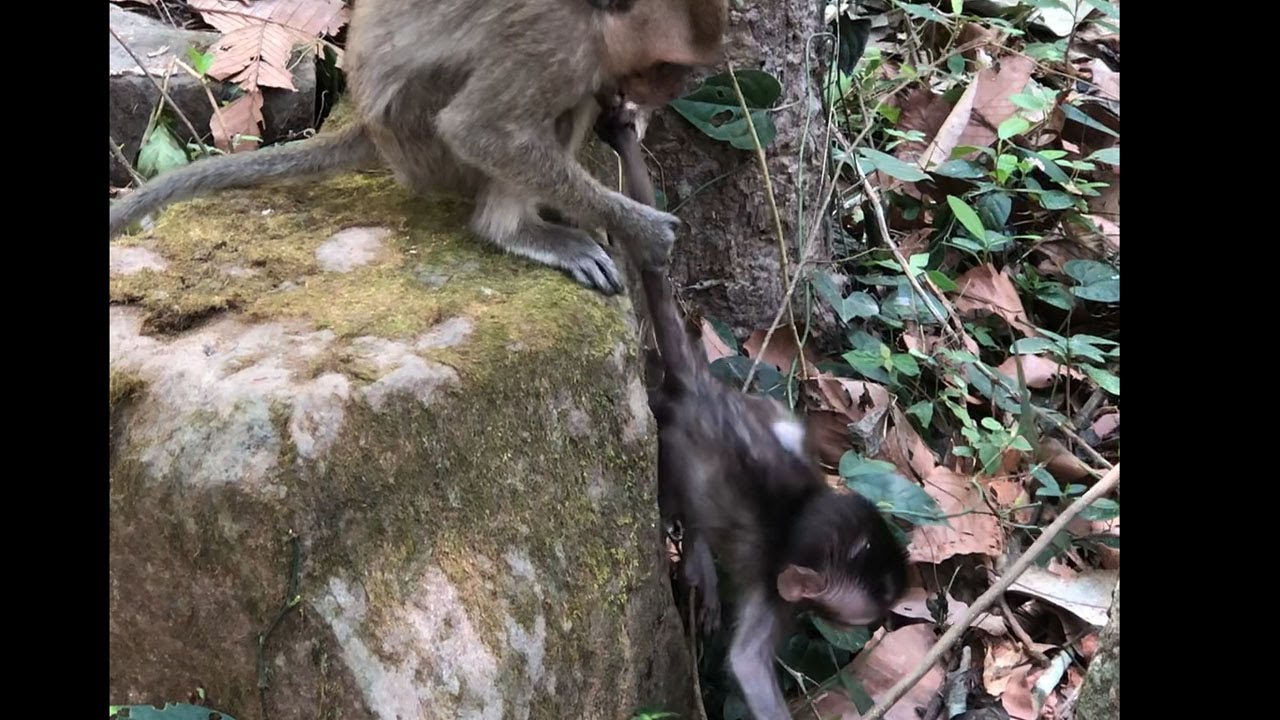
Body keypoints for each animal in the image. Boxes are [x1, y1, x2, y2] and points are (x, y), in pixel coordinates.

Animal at [108, 0, 728, 295]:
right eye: (668, 64)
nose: (673, 90)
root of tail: (370, 125)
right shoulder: (554, 42)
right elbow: (481, 129)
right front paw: (642, 228)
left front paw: (626, 116)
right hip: (421, 139)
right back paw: (512, 228)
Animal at [593, 95, 910, 720]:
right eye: (869, 611)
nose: (877, 627)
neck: (798, 516)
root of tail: (701, 390)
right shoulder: (775, 590)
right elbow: (747, 665)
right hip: (670, 439)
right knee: (674, 493)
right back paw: (695, 555)